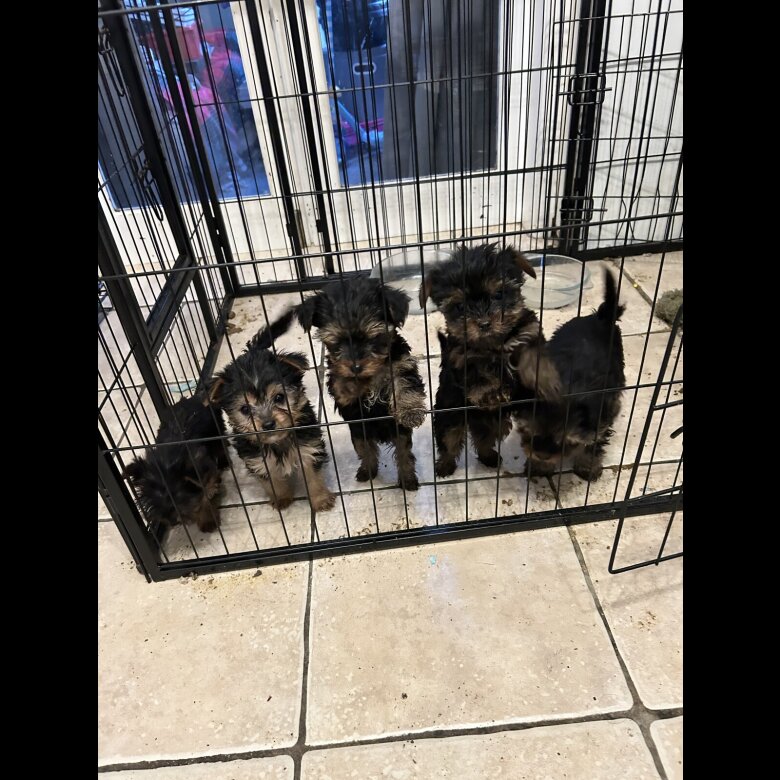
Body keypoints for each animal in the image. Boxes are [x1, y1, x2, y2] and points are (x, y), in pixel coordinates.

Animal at [124, 394, 228, 539]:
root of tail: (196, 397)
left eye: (178, 498)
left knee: (221, 443)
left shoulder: (204, 471)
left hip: (215, 428)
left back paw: (224, 461)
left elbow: (205, 496)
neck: (167, 461)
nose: (172, 521)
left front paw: (207, 521)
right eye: (153, 501)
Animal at [209, 309, 335, 513]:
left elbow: (313, 477)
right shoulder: (258, 460)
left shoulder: (308, 448)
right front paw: (282, 498)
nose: (268, 423)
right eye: (245, 409)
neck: (278, 442)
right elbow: (272, 482)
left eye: (279, 398)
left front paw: (320, 499)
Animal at [293, 277, 427, 490]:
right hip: (358, 433)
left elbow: (405, 385)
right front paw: (351, 384)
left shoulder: (401, 364)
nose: (356, 366)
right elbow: (342, 386)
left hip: (399, 434)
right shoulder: (337, 380)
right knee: (366, 450)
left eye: (374, 338)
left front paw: (410, 412)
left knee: (404, 453)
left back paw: (408, 479)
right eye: (336, 342)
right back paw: (367, 471)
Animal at [419, 243, 560, 477]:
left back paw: (489, 456)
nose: (484, 323)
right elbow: (478, 374)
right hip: (450, 413)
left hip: (493, 421)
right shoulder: (462, 359)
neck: (494, 343)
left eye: (499, 294)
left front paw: (546, 380)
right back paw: (445, 465)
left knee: (484, 437)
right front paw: (491, 392)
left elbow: (534, 359)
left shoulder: (529, 334)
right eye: (460, 306)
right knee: (450, 439)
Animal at [514, 268, 626, 482]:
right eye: (530, 433)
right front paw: (540, 466)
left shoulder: (602, 417)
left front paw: (587, 467)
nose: (542, 454)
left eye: (564, 441)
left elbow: (593, 444)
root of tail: (601, 317)